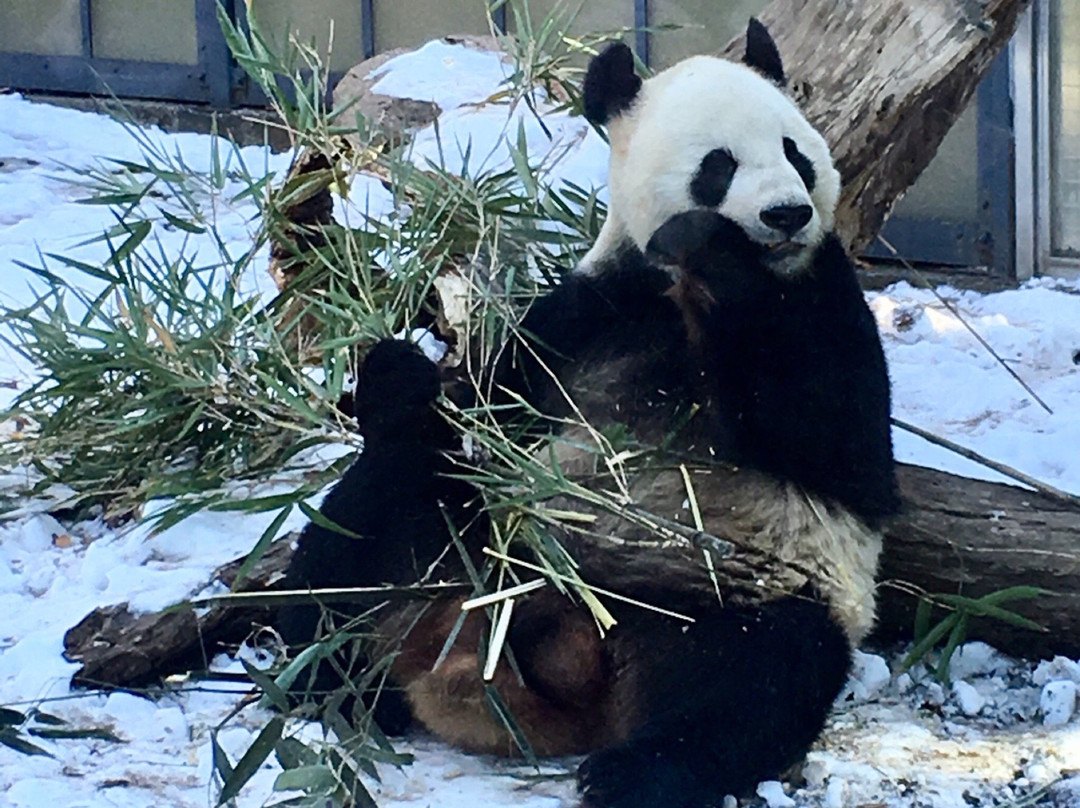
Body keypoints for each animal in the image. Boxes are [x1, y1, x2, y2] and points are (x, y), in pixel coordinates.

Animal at [280, 22, 902, 808]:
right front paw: (398, 372)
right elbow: (489, 394)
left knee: (747, 682)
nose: (787, 214)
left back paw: (633, 771)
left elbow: (838, 442)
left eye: (795, 151)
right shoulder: (587, 312)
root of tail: (568, 644)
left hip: (740, 592)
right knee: (368, 528)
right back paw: (326, 673)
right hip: (480, 544)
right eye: (719, 165)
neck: (680, 296)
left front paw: (712, 249)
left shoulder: (823, 293)